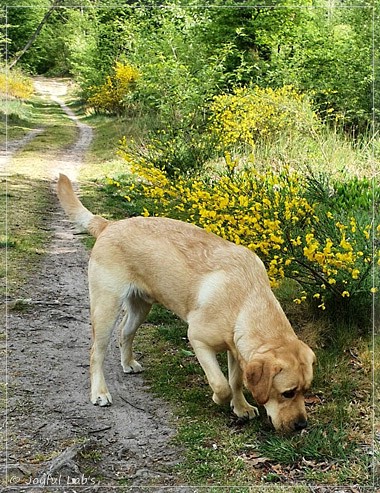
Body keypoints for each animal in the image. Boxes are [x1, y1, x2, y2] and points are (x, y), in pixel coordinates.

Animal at [58, 173, 316, 430]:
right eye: (287, 393)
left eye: (305, 391)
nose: (301, 425)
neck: (246, 299)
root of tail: (109, 225)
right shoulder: (198, 340)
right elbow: (221, 384)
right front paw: (220, 399)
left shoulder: (236, 348)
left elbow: (235, 381)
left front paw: (241, 406)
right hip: (106, 309)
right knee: (96, 352)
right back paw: (99, 392)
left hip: (140, 309)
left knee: (125, 332)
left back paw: (128, 362)